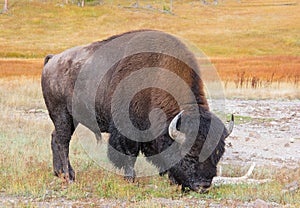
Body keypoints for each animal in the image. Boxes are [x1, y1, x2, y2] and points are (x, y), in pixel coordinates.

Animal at [41, 29, 233, 193]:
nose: (203, 186)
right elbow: (129, 154)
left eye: (218, 153)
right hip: (62, 114)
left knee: (55, 137)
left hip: (70, 119)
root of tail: (53, 59)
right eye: (189, 154)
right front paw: (131, 179)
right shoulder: (127, 130)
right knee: (62, 141)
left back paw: (60, 173)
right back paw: (69, 177)